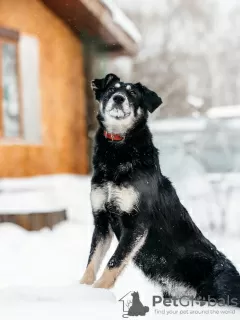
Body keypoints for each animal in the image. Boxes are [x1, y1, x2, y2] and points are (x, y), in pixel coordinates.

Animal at [80, 73, 240, 308]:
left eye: (133, 93)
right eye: (111, 90)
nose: (118, 98)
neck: (118, 152)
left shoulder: (136, 223)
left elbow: (113, 262)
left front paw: (97, 291)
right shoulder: (101, 221)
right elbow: (92, 261)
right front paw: (80, 290)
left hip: (217, 282)